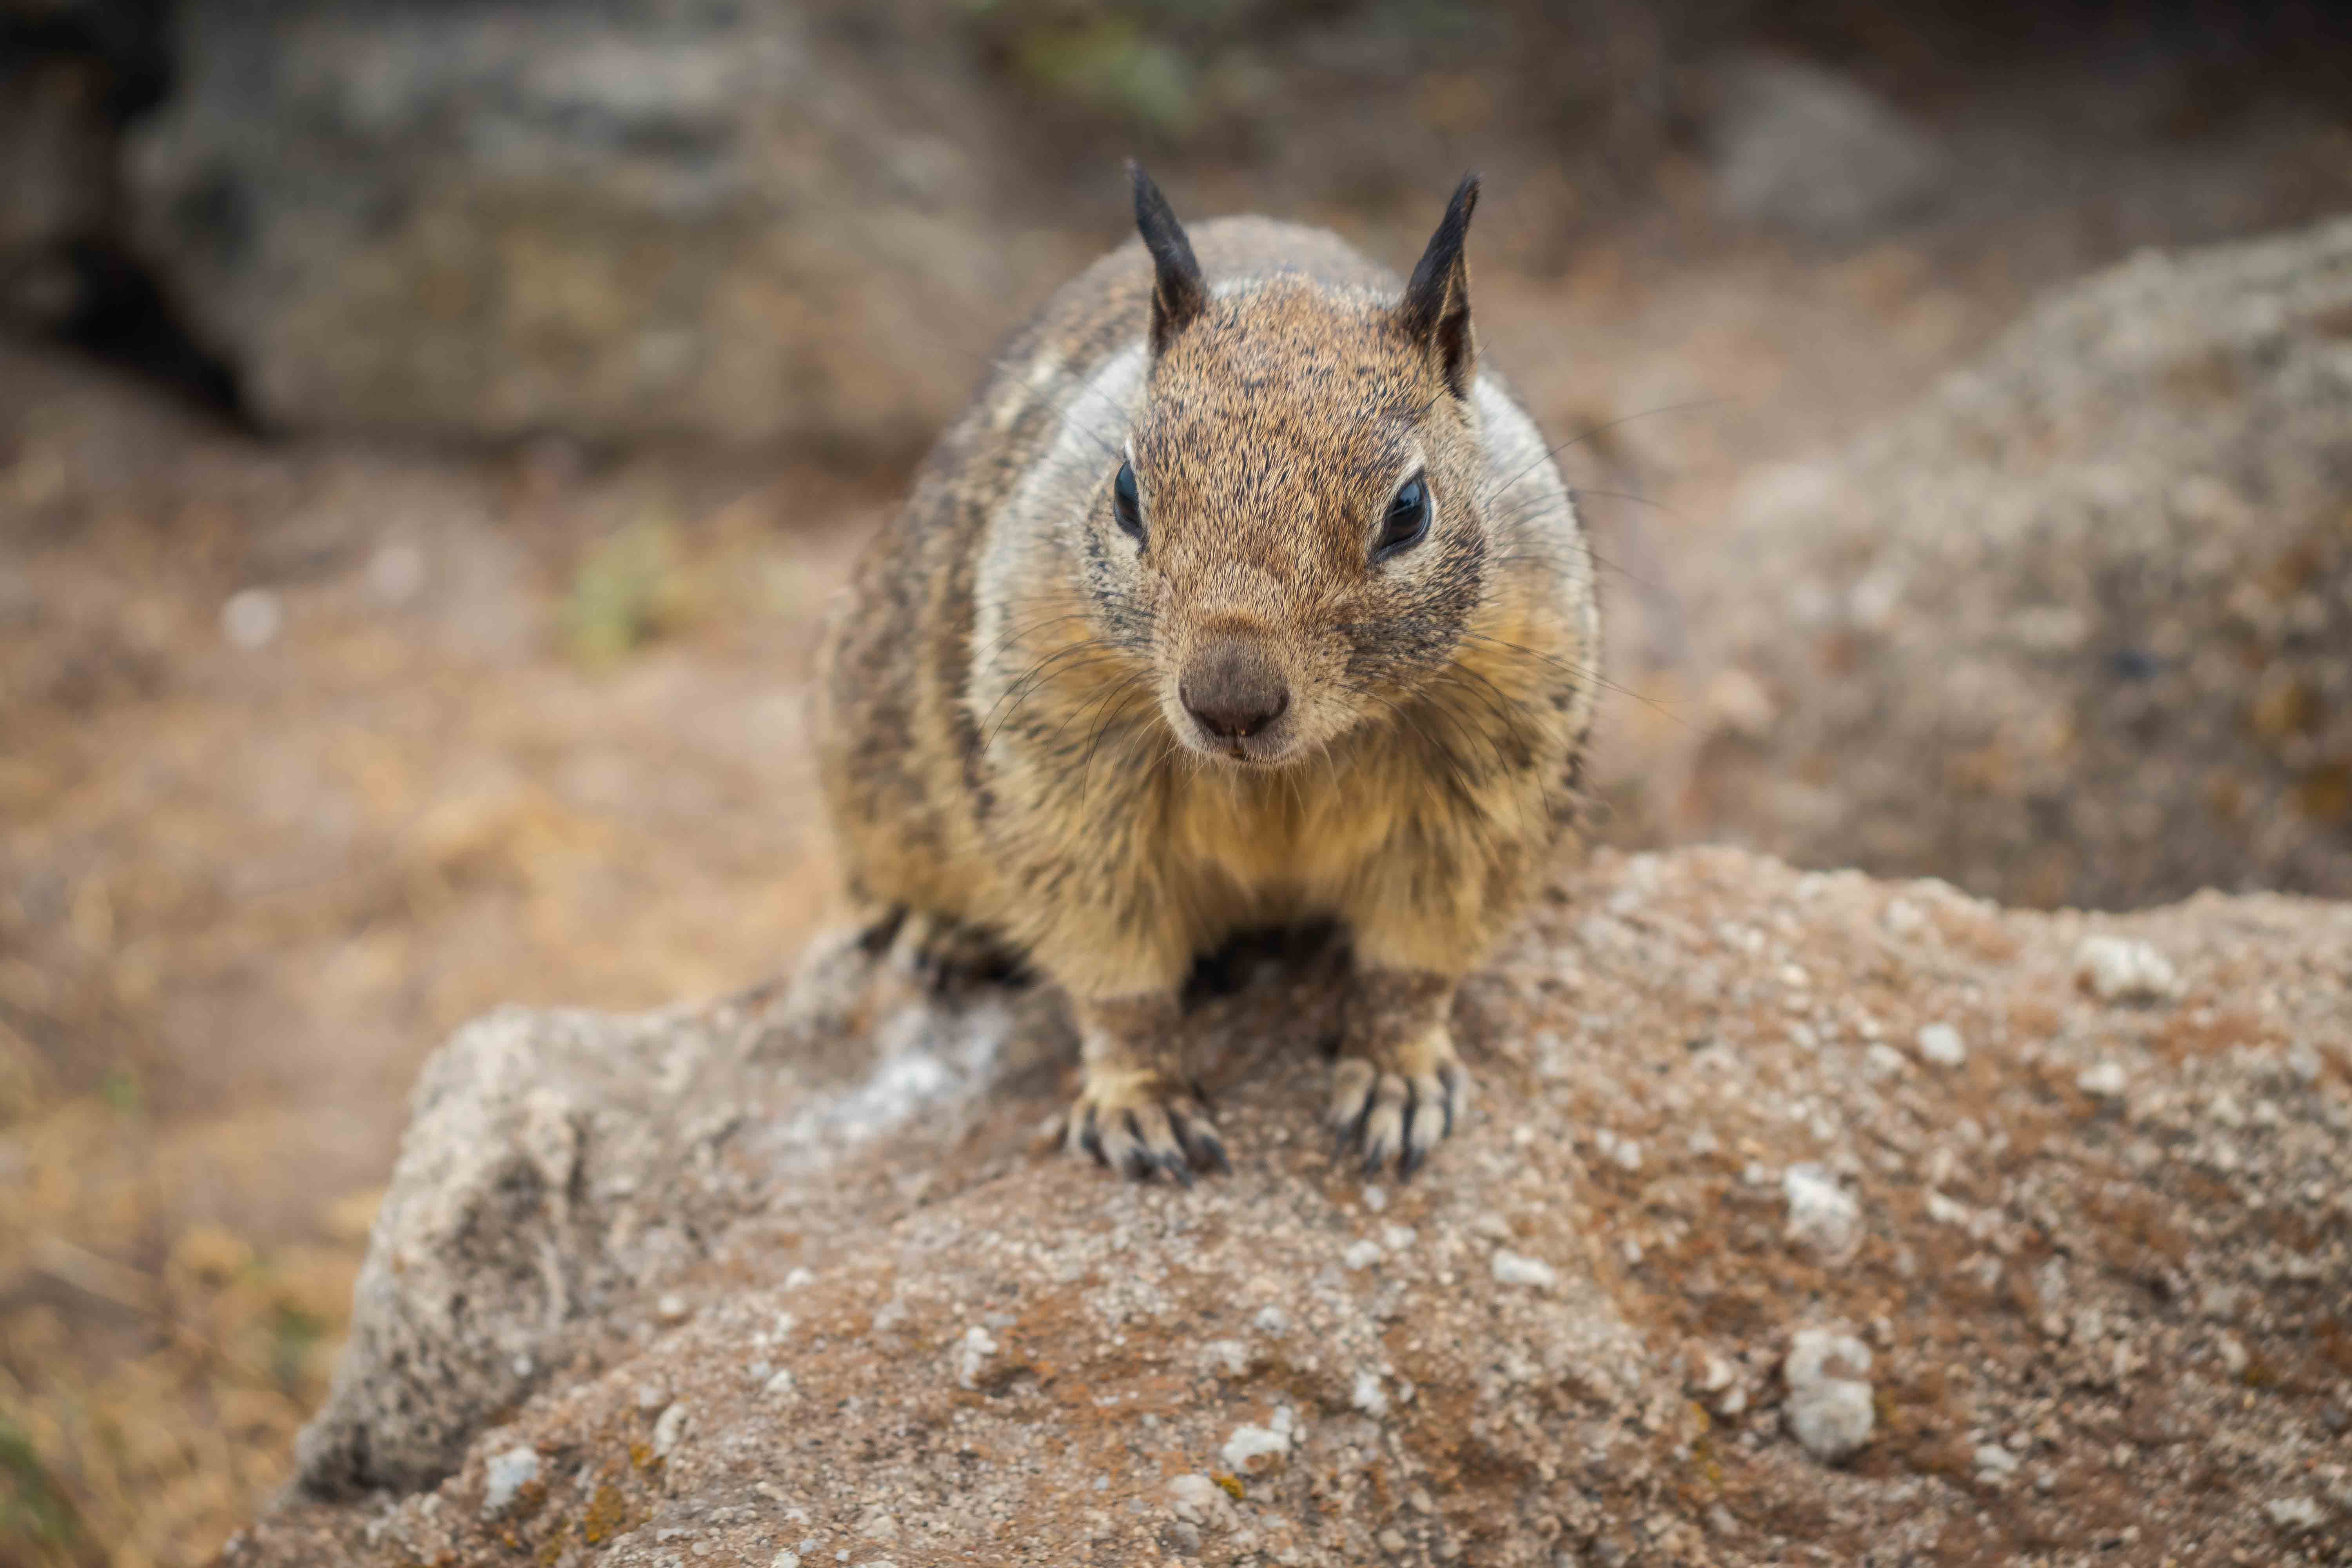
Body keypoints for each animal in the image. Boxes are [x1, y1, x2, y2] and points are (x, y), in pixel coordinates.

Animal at [816, 165, 1599, 1182]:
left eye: (1410, 510)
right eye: (1124, 491)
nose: (1229, 701)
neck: (1286, 774)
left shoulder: (1492, 768)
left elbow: (1417, 956)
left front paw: (1397, 1076)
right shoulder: (1059, 772)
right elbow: (1111, 964)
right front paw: (1140, 1101)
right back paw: (936, 933)